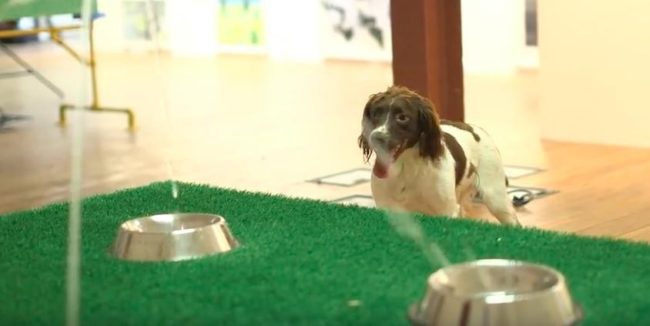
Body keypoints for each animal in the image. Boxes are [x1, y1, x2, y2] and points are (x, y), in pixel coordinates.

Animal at [356, 85, 520, 225]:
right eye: (375, 114)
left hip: (496, 199)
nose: (376, 137)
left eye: (402, 117)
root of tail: (475, 128)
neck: (406, 168)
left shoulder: (447, 211)